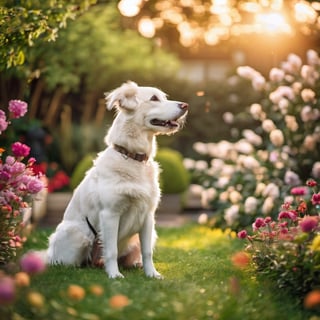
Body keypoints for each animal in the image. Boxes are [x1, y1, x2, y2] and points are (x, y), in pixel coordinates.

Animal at [45, 81, 188, 278]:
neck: (133, 157)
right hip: (78, 234)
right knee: (66, 262)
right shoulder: (110, 214)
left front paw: (151, 274)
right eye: (154, 98)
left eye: (164, 97)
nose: (185, 106)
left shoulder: (148, 216)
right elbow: (111, 250)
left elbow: (147, 252)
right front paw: (114, 275)